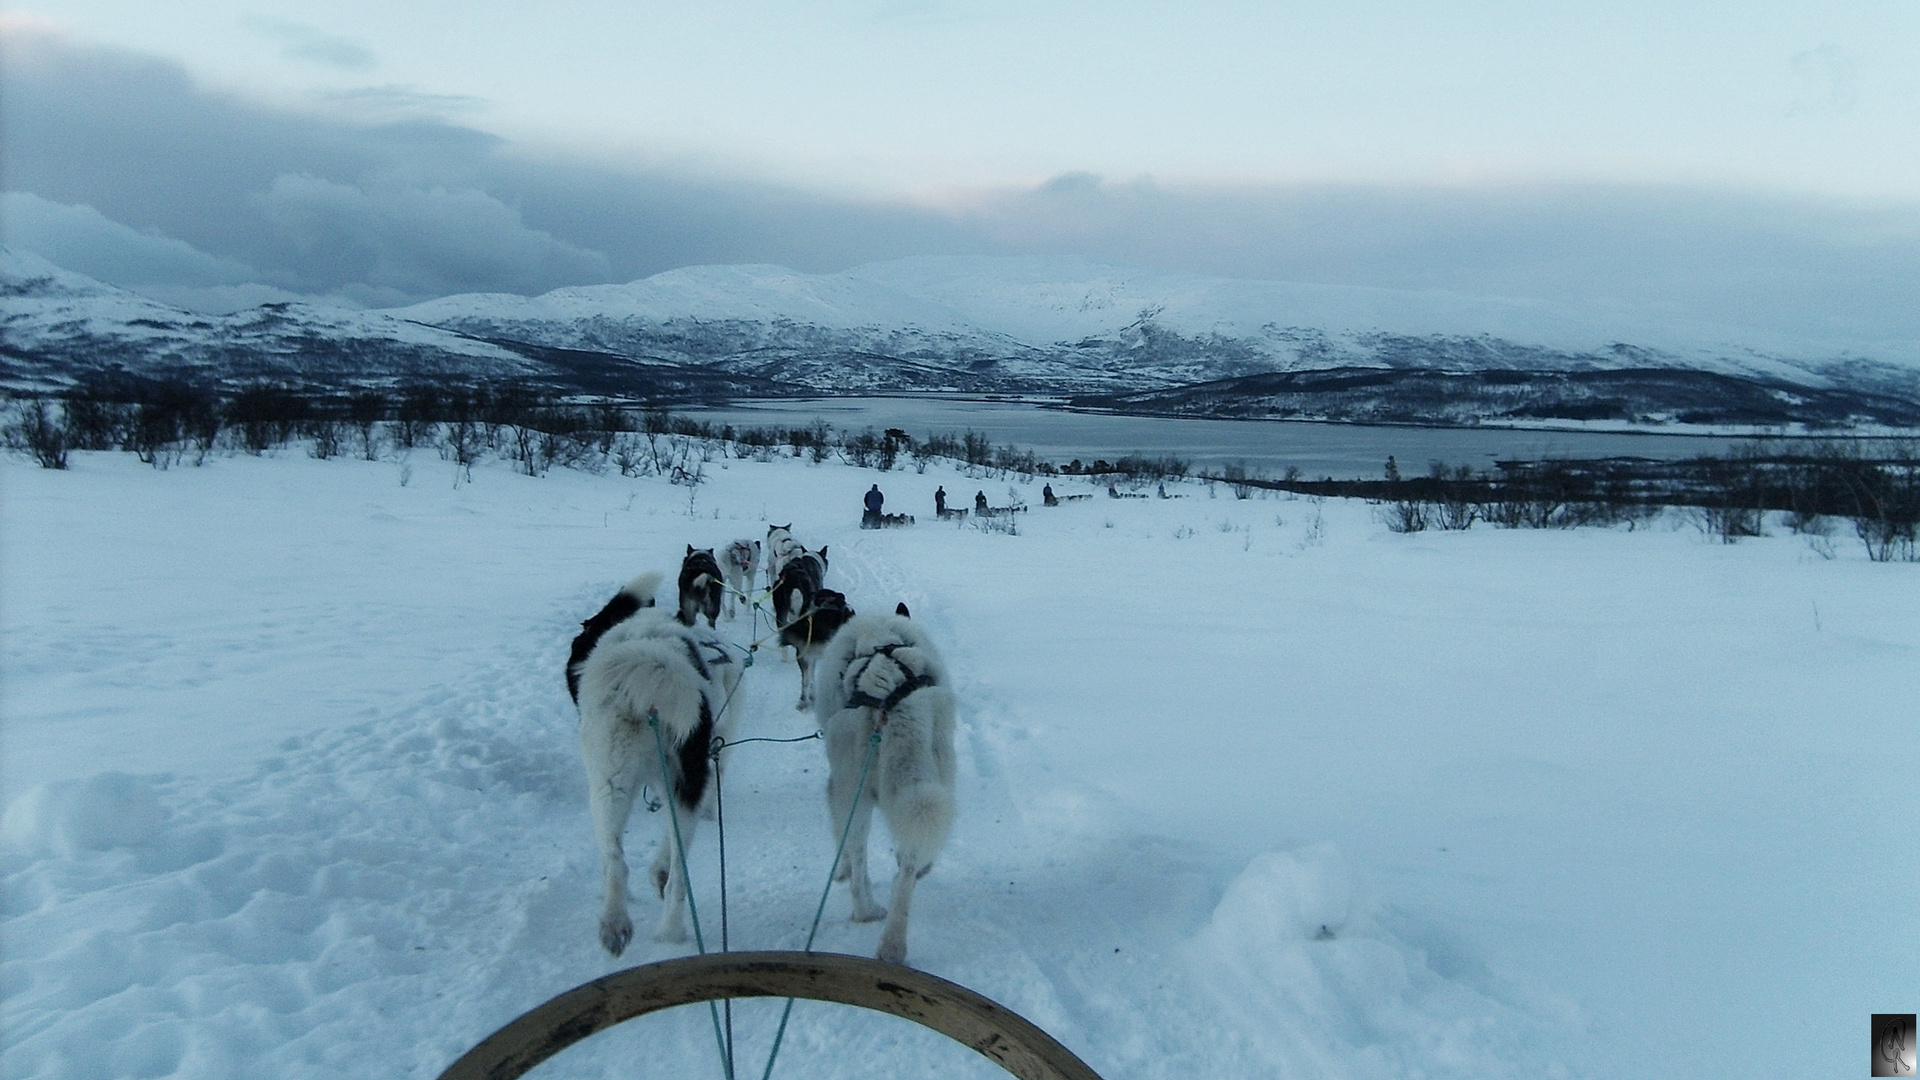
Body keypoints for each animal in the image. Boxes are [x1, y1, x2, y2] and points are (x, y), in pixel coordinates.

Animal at [572, 580, 737, 949]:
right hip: (673, 781)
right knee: (671, 875)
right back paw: (662, 929)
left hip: (612, 783)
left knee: (617, 861)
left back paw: (625, 924)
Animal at [814, 599, 956, 960]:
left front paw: (841, 871)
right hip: (934, 781)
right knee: (907, 863)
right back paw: (893, 941)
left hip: (854, 794)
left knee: (857, 854)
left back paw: (868, 911)